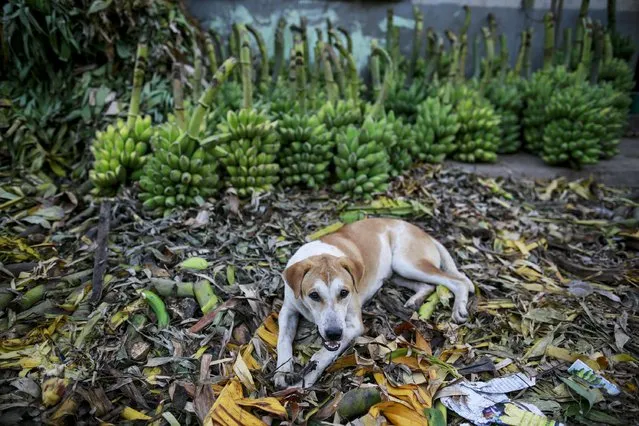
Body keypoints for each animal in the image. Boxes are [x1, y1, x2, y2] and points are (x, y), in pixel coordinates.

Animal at [276, 220, 476, 390]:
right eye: (314, 295)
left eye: (344, 293)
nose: (334, 333)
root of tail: (419, 230)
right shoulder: (287, 310)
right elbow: (283, 339)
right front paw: (282, 371)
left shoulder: (353, 326)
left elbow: (322, 354)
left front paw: (306, 378)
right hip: (396, 273)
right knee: (428, 286)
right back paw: (415, 301)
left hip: (407, 263)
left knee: (458, 282)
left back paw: (459, 308)